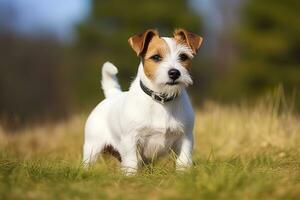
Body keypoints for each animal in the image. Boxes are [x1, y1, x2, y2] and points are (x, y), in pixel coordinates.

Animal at [83, 28, 203, 173]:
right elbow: (132, 163)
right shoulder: (130, 141)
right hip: (92, 147)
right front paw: (131, 176)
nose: (174, 73)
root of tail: (113, 95)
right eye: (156, 57)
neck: (161, 100)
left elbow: (183, 161)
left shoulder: (185, 138)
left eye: (183, 57)